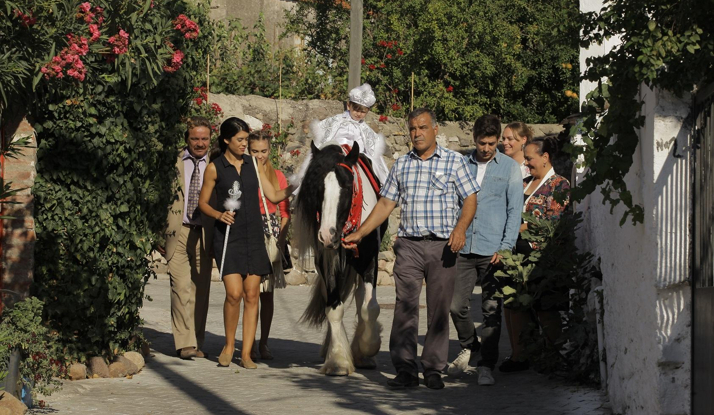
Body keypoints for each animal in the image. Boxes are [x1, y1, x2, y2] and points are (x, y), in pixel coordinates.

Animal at [292, 141, 382, 376]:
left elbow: (370, 307)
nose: (327, 234)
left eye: (348, 187)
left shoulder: (370, 259)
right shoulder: (326, 261)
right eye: (317, 188)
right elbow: (333, 308)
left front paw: (369, 347)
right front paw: (338, 359)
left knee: (360, 298)